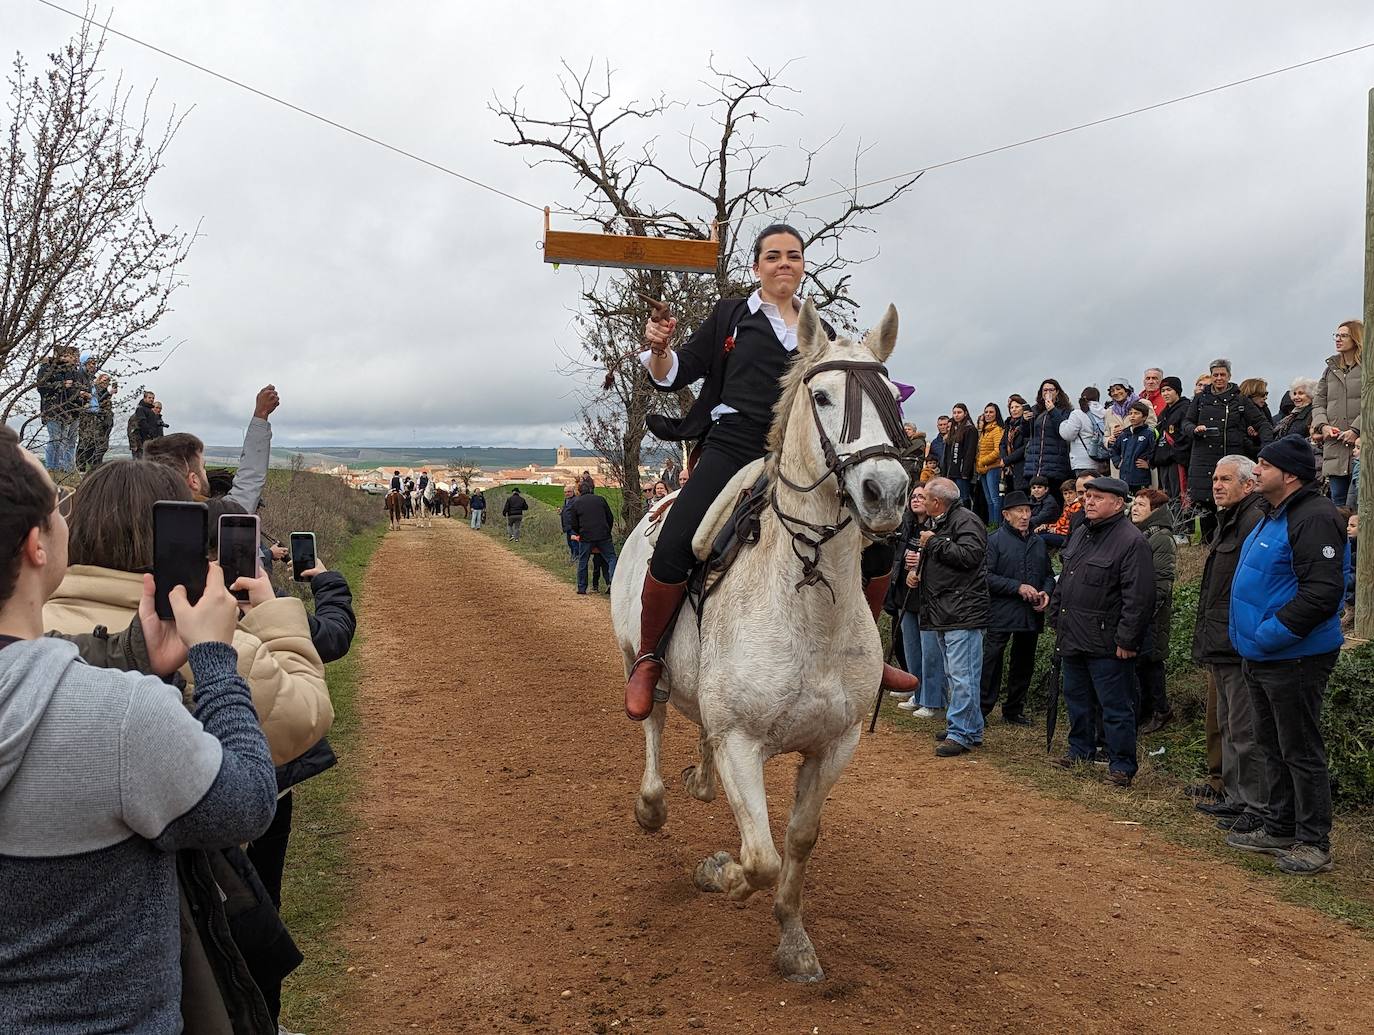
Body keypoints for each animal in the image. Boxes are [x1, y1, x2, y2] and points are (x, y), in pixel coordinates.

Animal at [612, 298, 912, 978]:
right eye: (822, 396)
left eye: (893, 398)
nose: (886, 493)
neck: (809, 602)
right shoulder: (742, 743)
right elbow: (761, 858)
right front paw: (717, 870)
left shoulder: (834, 745)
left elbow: (797, 843)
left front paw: (794, 941)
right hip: (636, 655)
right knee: (653, 720)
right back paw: (653, 802)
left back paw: (697, 781)